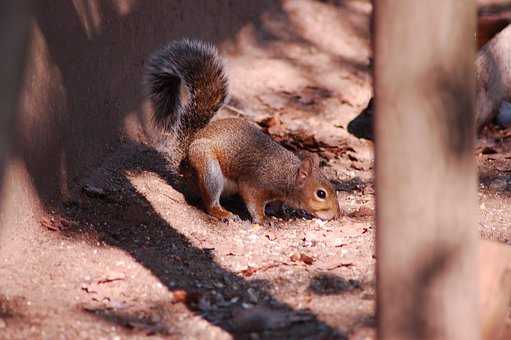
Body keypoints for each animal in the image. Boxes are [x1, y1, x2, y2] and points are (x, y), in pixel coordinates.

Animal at [144, 38, 340, 223]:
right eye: (321, 194)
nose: (338, 214)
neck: (286, 175)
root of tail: (183, 168)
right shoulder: (254, 185)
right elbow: (254, 202)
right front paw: (263, 220)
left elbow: (277, 204)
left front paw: (280, 213)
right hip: (208, 168)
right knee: (210, 199)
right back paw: (222, 213)